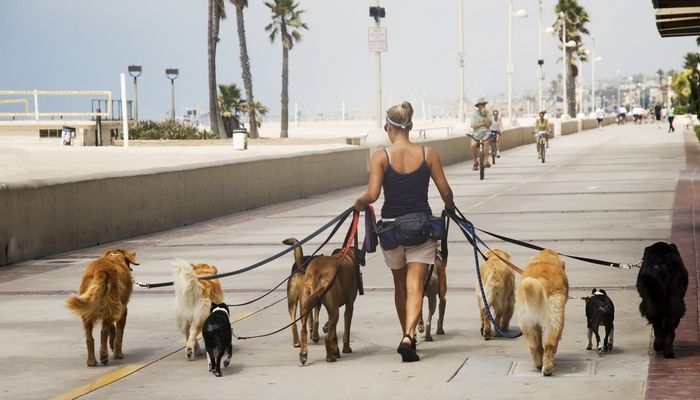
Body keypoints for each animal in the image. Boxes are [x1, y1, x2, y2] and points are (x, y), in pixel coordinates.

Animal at [516, 248, 568, 376]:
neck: (545, 259)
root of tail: (540, 280)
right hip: (555, 321)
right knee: (550, 344)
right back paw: (548, 368)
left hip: (527, 322)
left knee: (534, 345)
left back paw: (539, 364)